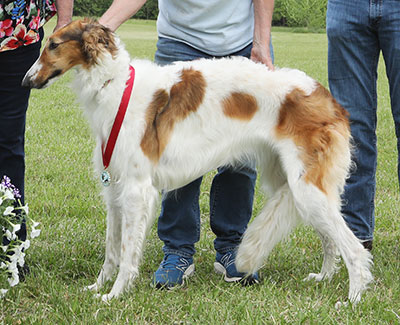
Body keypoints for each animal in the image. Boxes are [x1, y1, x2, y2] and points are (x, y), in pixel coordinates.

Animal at [21, 18, 372, 302]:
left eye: (53, 44)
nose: (26, 81)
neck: (116, 85)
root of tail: (328, 99)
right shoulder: (114, 190)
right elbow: (111, 251)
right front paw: (97, 287)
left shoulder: (136, 189)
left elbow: (126, 254)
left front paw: (114, 295)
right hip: (296, 188)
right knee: (331, 239)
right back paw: (323, 277)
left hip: (307, 188)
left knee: (354, 248)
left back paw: (353, 298)